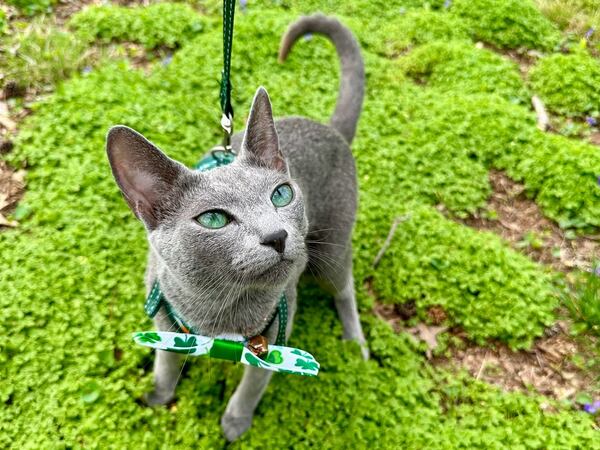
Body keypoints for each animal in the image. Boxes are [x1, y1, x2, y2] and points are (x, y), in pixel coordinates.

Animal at [106, 14, 366, 440]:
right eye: (213, 219)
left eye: (281, 195)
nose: (277, 235)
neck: (220, 318)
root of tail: (330, 129)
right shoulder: (165, 327)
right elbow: (165, 366)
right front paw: (156, 396)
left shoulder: (276, 342)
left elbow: (252, 385)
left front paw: (234, 423)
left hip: (331, 248)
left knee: (345, 289)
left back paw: (355, 345)